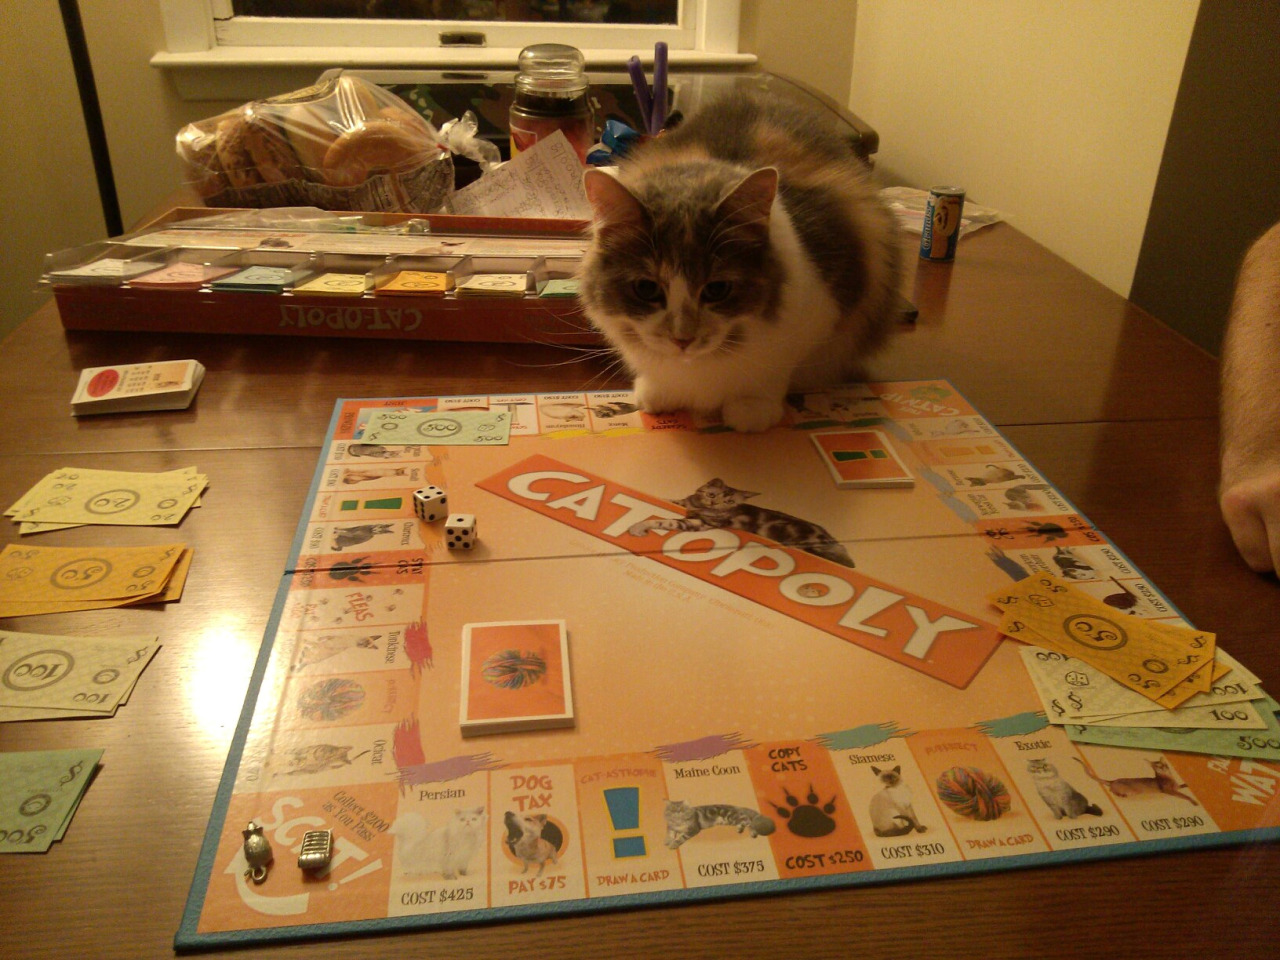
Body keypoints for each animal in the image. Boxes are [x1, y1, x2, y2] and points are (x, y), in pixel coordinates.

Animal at [579, 91, 902, 433]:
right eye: (646, 289)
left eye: (717, 289)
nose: (682, 339)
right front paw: (659, 393)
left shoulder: (823, 314)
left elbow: (773, 375)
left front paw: (751, 410)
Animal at [629, 477, 854, 567]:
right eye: (712, 494)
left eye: (729, 501)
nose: (714, 503)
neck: (697, 506)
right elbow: (672, 500)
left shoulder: (701, 523)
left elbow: (666, 522)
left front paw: (638, 527)